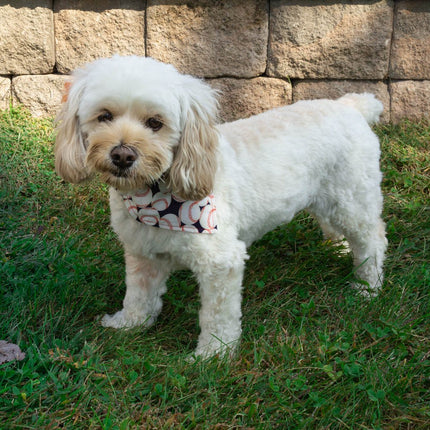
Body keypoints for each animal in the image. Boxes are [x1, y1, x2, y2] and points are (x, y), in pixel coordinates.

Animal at [53, 55, 386, 358]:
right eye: (104, 116)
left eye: (155, 123)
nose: (122, 155)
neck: (154, 200)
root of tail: (351, 105)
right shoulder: (142, 254)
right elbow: (138, 295)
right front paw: (129, 324)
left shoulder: (221, 262)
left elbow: (218, 316)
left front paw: (213, 355)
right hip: (326, 196)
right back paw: (339, 249)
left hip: (353, 199)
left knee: (373, 240)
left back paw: (367, 286)